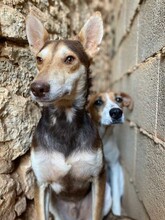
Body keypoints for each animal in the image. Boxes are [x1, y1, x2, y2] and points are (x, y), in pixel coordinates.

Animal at [25, 12, 111, 220]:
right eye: (39, 59)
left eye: (70, 59)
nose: (36, 88)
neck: (64, 122)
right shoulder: (41, 183)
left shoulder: (99, 177)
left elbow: (96, 213)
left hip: (108, 197)